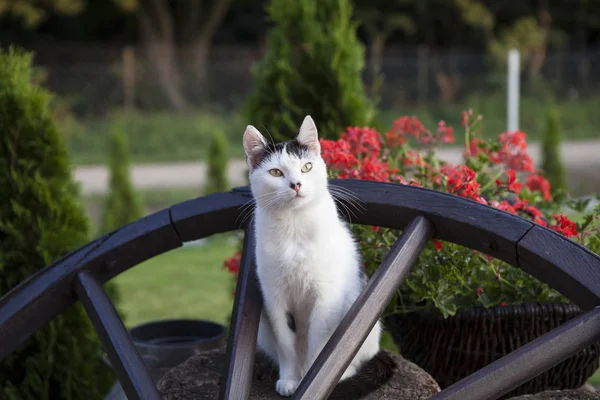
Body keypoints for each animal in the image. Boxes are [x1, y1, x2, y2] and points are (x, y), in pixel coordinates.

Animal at [243, 115, 380, 396]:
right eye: (276, 172)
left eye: (306, 167)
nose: (296, 184)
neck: (294, 227)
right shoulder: (274, 297)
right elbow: (285, 342)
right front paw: (290, 379)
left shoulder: (326, 297)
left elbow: (320, 344)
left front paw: (312, 378)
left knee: (355, 359)